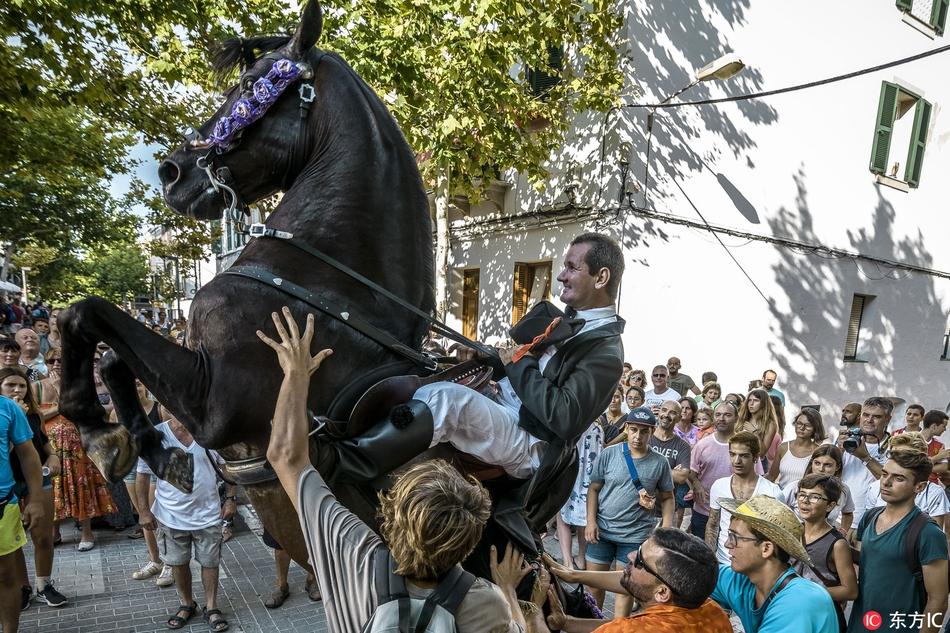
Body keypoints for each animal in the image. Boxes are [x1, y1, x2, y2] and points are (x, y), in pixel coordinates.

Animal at [56, 0, 436, 564]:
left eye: (253, 84)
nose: (172, 172)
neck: (334, 291)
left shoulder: (211, 405)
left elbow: (85, 312)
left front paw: (96, 431)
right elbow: (110, 355)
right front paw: (146, 447)